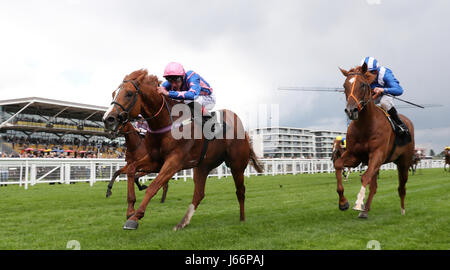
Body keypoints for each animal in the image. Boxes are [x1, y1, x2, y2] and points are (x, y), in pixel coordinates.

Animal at [102, 69, 264, 230]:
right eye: (113, 93)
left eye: (129, 93)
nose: (107, 119)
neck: (167, 123)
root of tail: (243, 130)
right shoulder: (155, 160)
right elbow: (131, 170)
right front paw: (130, 210)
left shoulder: (174, 162)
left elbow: (154, 186)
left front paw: (135, 217)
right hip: (203, 166)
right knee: (199, 194)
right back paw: (182, 222)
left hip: (237, 165)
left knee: (240, 191)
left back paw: (242, 219)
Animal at [334, 63, 414, 219]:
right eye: (344, 85)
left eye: (363, 85)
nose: (351, 111)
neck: (365, 126)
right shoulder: (355, 156)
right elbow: (338, 164)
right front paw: (343, 203)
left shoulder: (377, 154)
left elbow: (365, 177)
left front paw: (358, 202)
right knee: (374, 187)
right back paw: (365, 211)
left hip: (404, 163)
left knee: (402, 187)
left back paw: (402, 210)